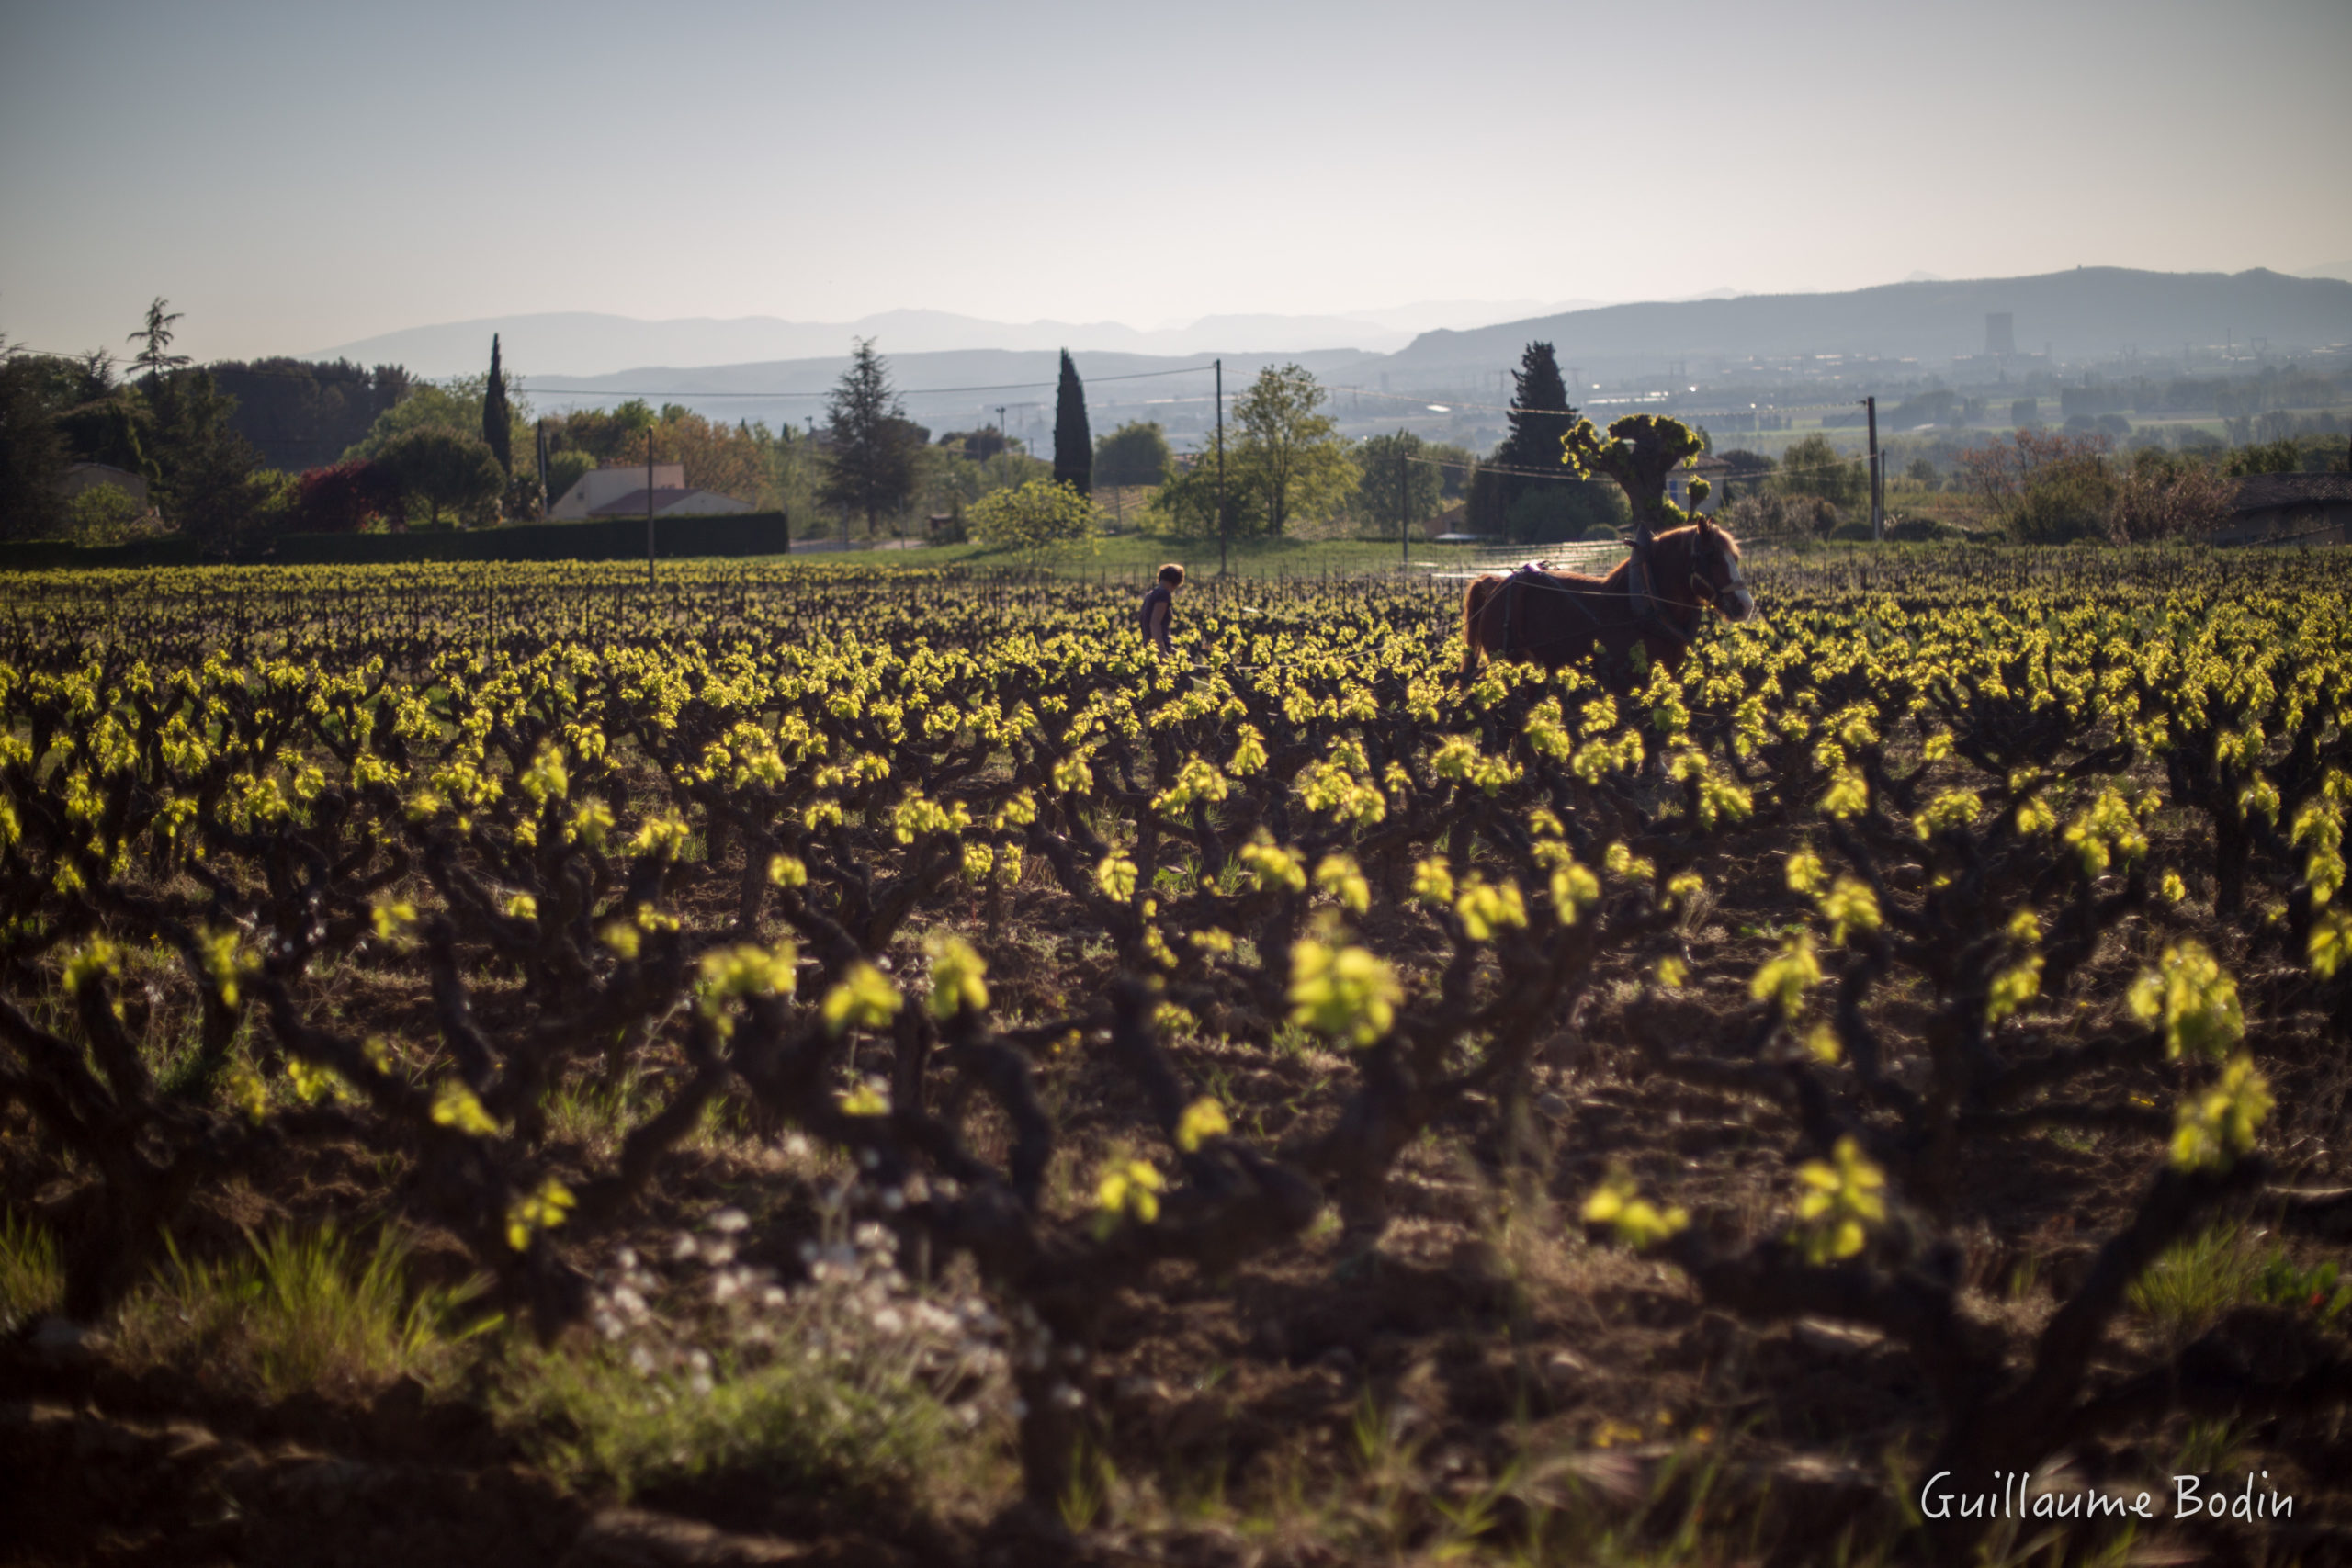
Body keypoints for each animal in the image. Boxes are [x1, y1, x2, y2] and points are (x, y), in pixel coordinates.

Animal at [1458, 522, 1758, 682]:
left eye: (1736, 557)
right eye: (1713, 558)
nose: (1745, 605)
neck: (1644, 607)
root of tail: (1497, 584)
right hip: (1510, 664)